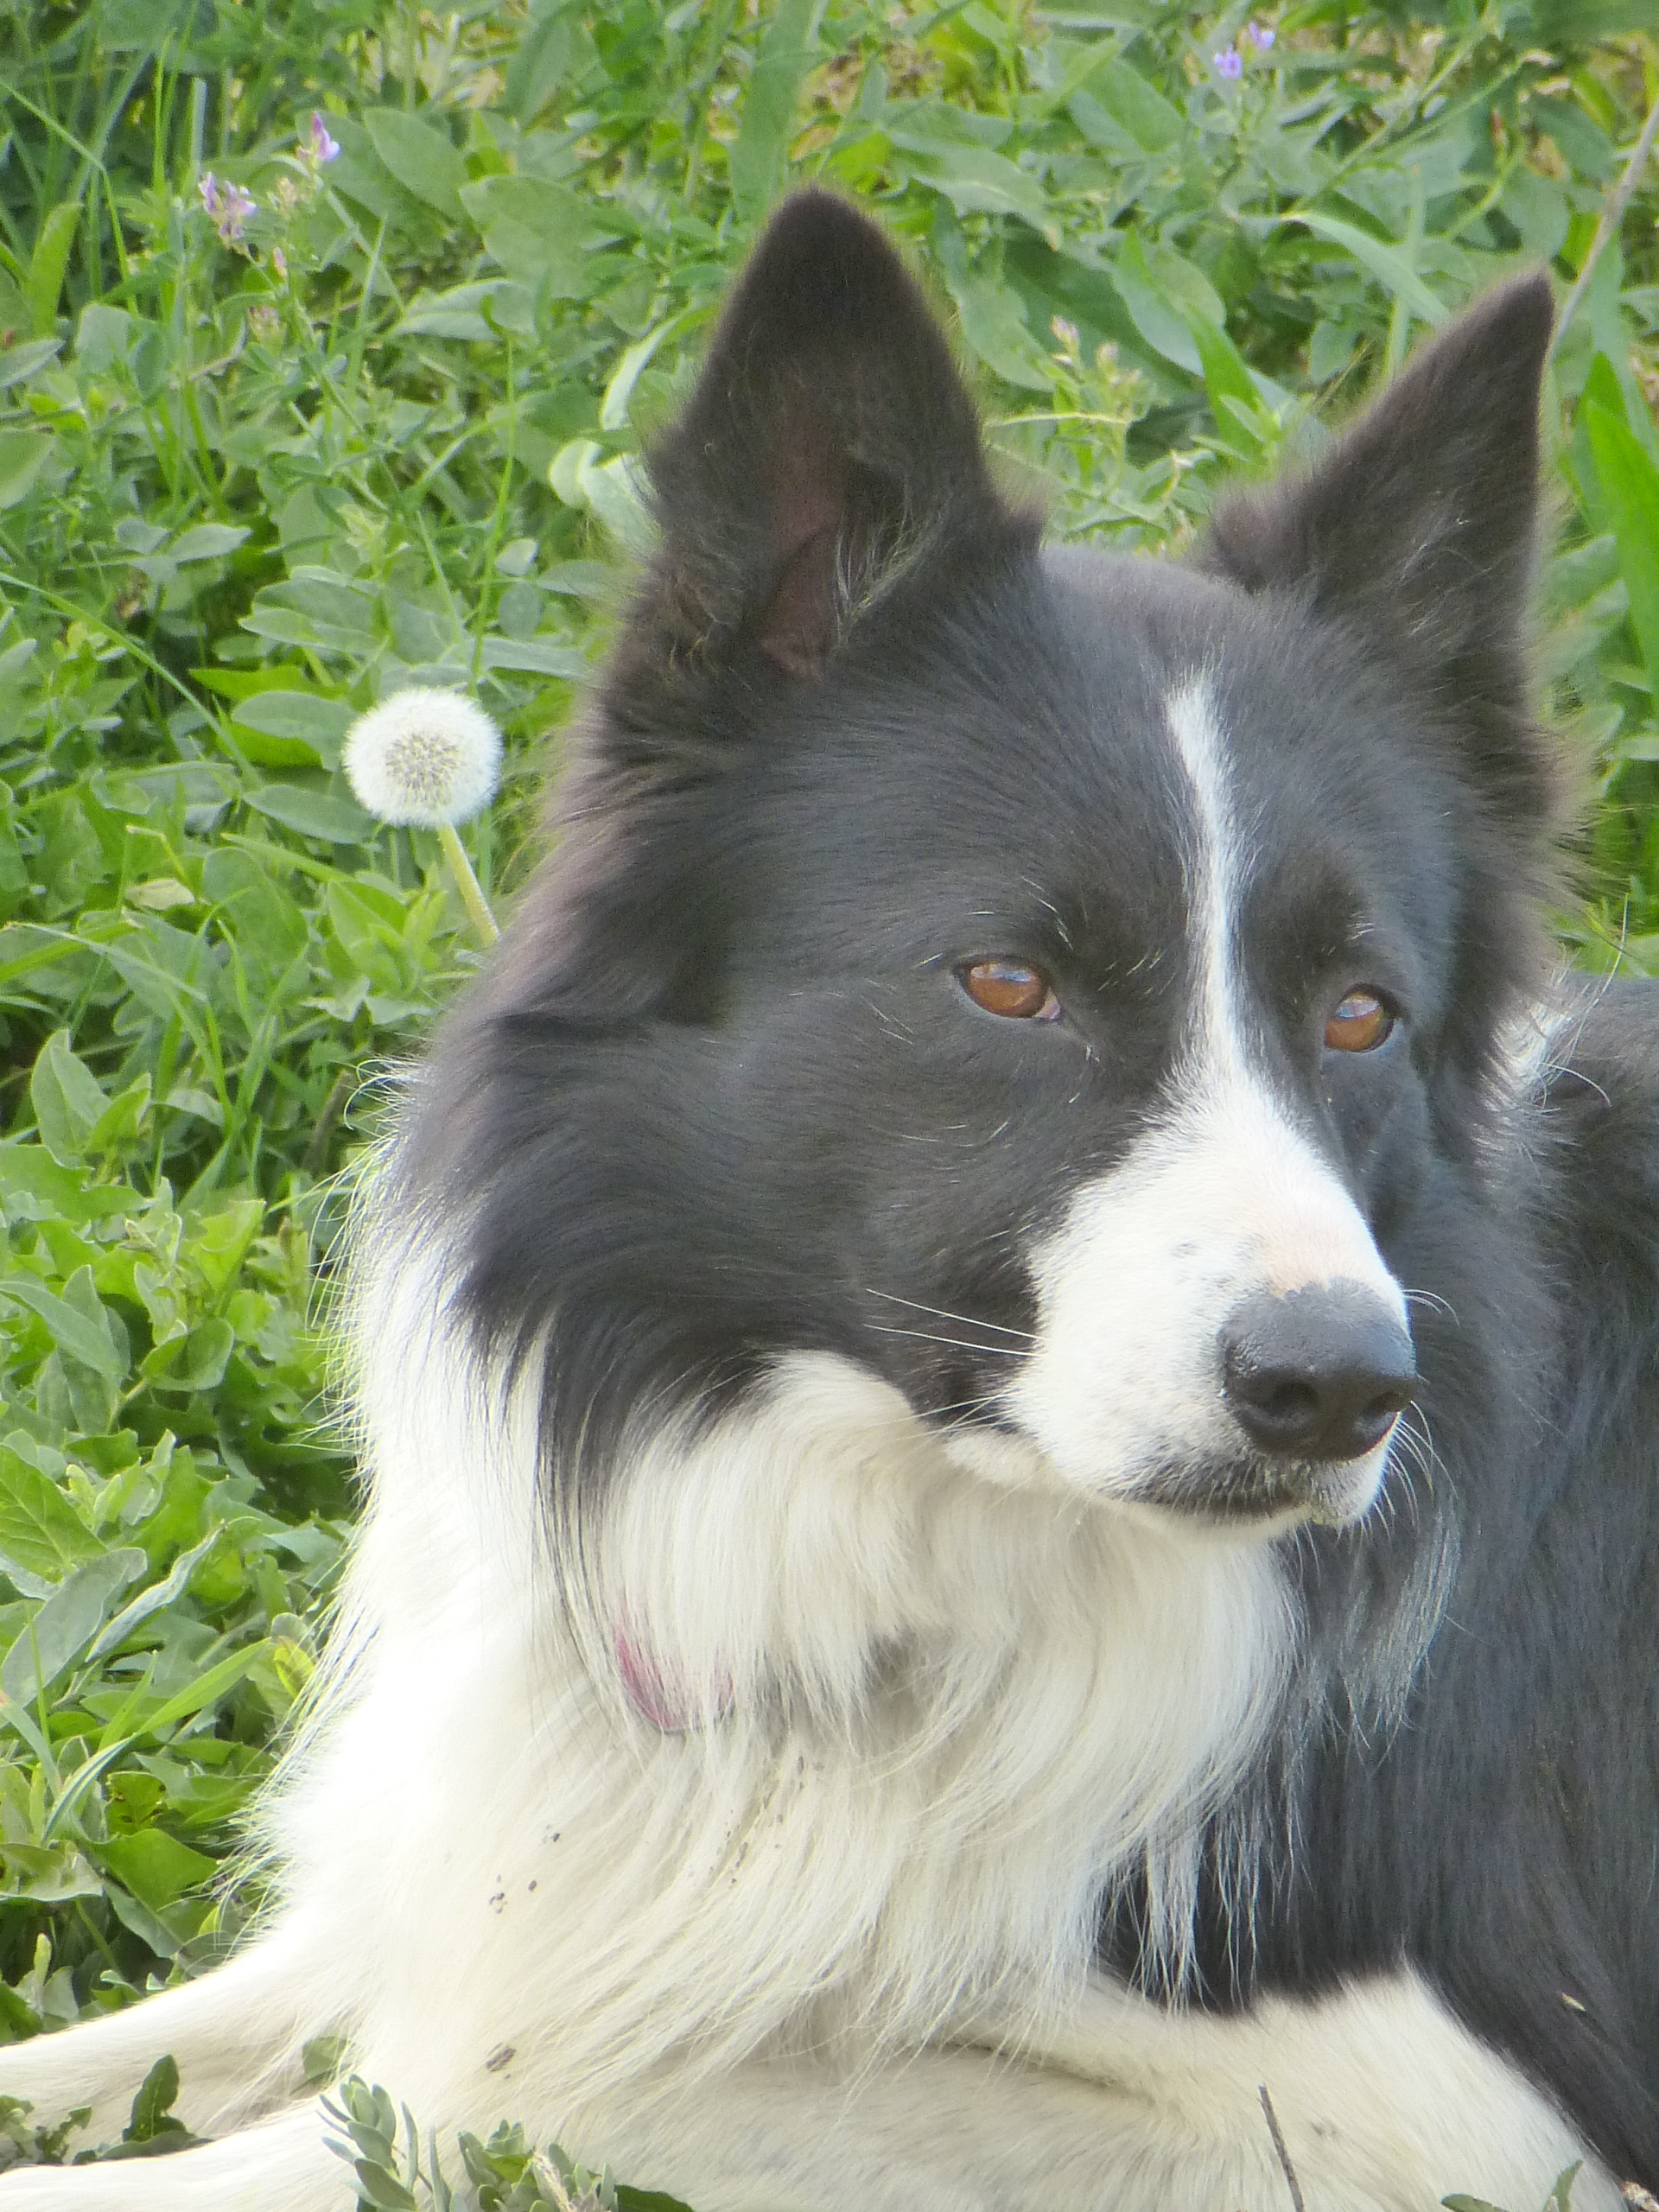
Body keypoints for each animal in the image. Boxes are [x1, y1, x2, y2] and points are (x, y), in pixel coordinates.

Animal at [3, 194, 1659, 2212]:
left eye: (1361, 1014)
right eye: (1010, 983)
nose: (1341, 1390)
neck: (910, 1551)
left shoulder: (1440, 2111)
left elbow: (549, 2088)